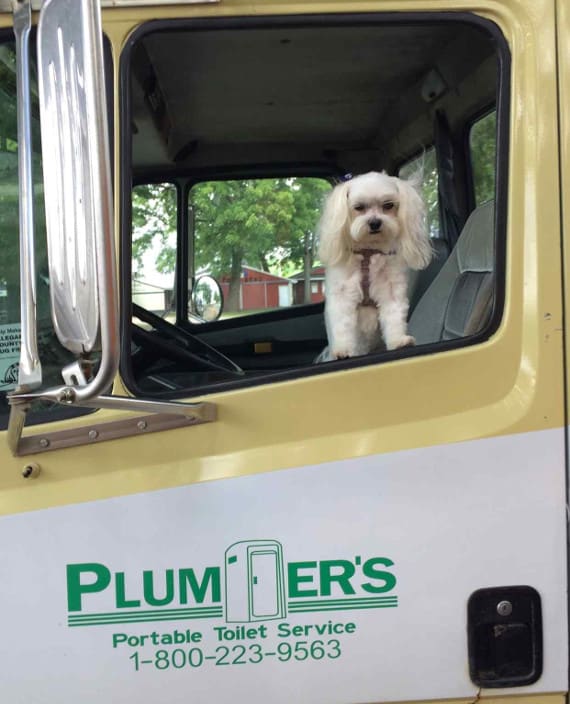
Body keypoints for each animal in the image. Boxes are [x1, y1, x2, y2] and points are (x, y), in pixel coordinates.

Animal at [316, 169, 430, 358]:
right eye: (359, 207)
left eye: (388, 205)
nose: (375, 222)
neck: (369, 253)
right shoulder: (342, 294)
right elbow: (342, 325)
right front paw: (343, 350)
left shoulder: (391, 289)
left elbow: (393, 315)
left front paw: (399, 341)